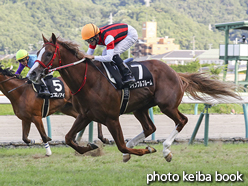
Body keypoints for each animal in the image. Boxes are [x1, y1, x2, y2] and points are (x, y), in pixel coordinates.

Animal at [28, 34, 241, 162]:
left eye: (48, 53)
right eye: (37, 52)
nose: (32, 74)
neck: (90, 80)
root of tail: (175, 72)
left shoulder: (111, 118)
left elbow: (120, 145)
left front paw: (146, 150)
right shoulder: (85, 115)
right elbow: (68, 138)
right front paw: (89, 146)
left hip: (167, 105)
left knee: (182, 120)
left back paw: (165, 150)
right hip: (140, 108)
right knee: (150, 127)